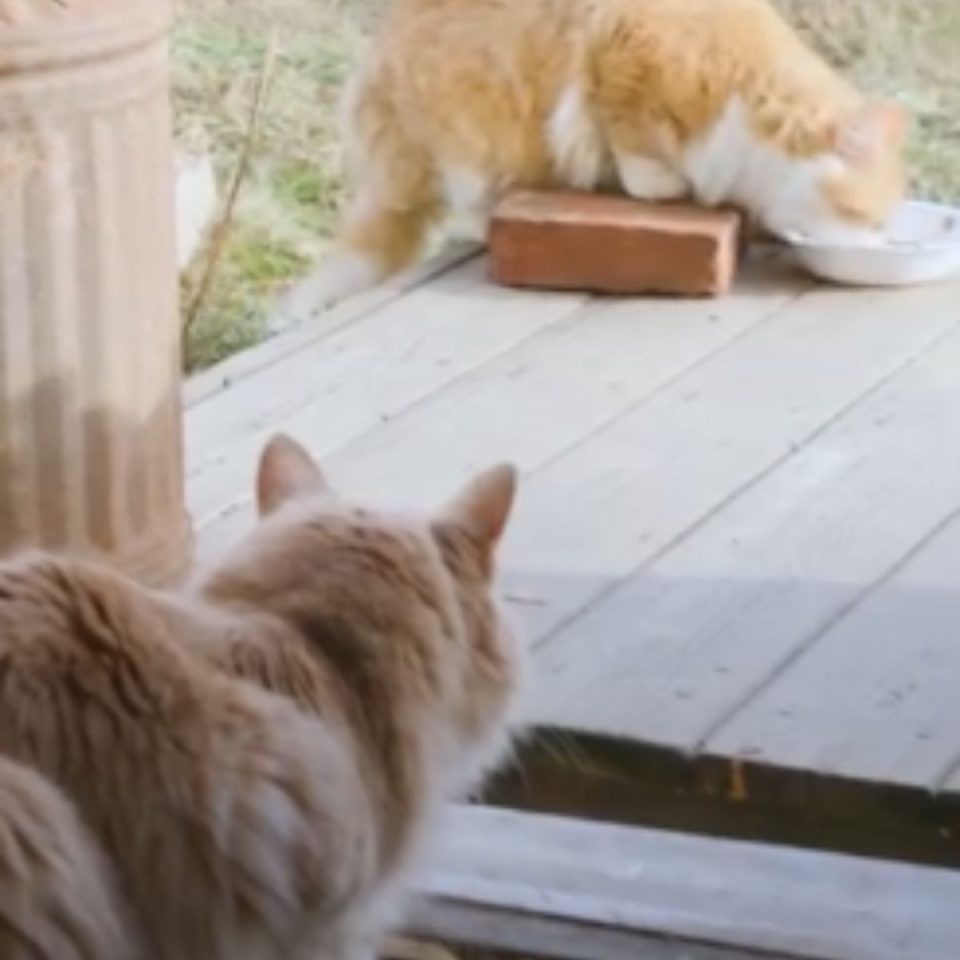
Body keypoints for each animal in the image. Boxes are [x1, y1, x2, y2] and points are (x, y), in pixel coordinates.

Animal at [292, 0, 908, 316]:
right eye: (867, 218)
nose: (880, 242)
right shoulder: (620, 49)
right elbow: (630, 140)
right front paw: (663, 184)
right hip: (467, 133)